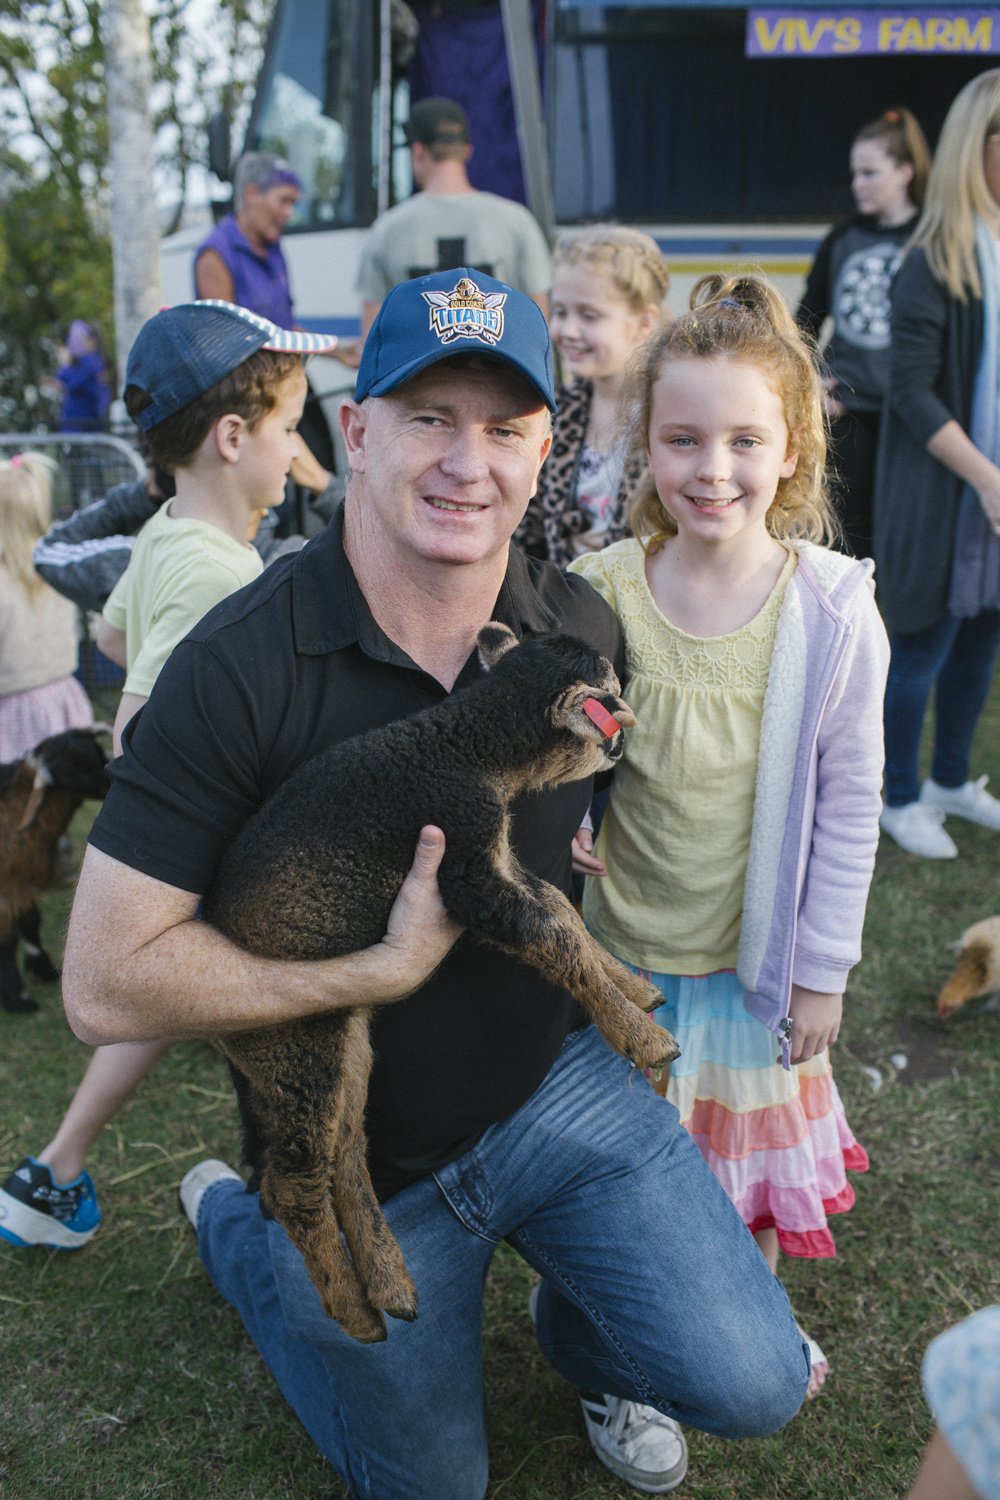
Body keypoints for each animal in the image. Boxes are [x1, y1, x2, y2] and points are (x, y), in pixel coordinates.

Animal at [0, 732, 109, 1014]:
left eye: (96, 753)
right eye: (76, 769)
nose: (111, 778)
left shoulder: (20, 882)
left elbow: (30, 922)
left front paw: (42, 969)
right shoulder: (7, 888)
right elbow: (7, 939)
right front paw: (18, 998)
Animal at [206, 615, 683, 1344]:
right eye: (610, 702)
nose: (622, 748)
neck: (464, 745)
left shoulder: (495, 858)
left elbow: (562, 912)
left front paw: (633, 993)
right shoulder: (465, 871)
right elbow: (551, 935)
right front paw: (642, 1037)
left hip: (344, 1044)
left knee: (345, 1150)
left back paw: (390, 1283)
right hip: (294, 1044)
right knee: (292, 1185)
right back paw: (356, 1314)